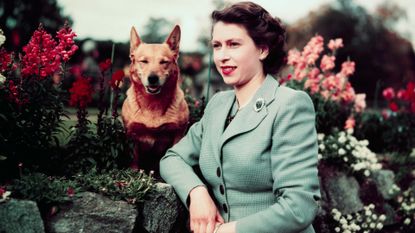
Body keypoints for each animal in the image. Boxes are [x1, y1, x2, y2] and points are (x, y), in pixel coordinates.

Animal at [122, 25, 190, 175]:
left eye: (164, 62)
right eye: (144, 61)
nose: (153, 78)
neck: (152, 104)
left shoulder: (178, 133)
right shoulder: (131, 134)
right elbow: (134, 159)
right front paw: (133, 173)